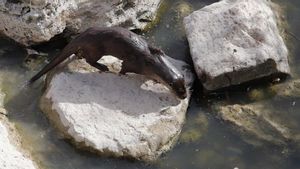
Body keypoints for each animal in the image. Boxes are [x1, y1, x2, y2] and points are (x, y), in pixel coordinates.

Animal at [28, 26, 188, 99]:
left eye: (184, 86)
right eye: (177, 90)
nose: (184, 97)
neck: (153, 62)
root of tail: (83, 34)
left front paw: (154, 80)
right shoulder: (134, 64)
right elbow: (124, 68)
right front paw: (121, 74)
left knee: (80, 54)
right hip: (96, 49)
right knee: (89, 59)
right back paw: (103, 67)